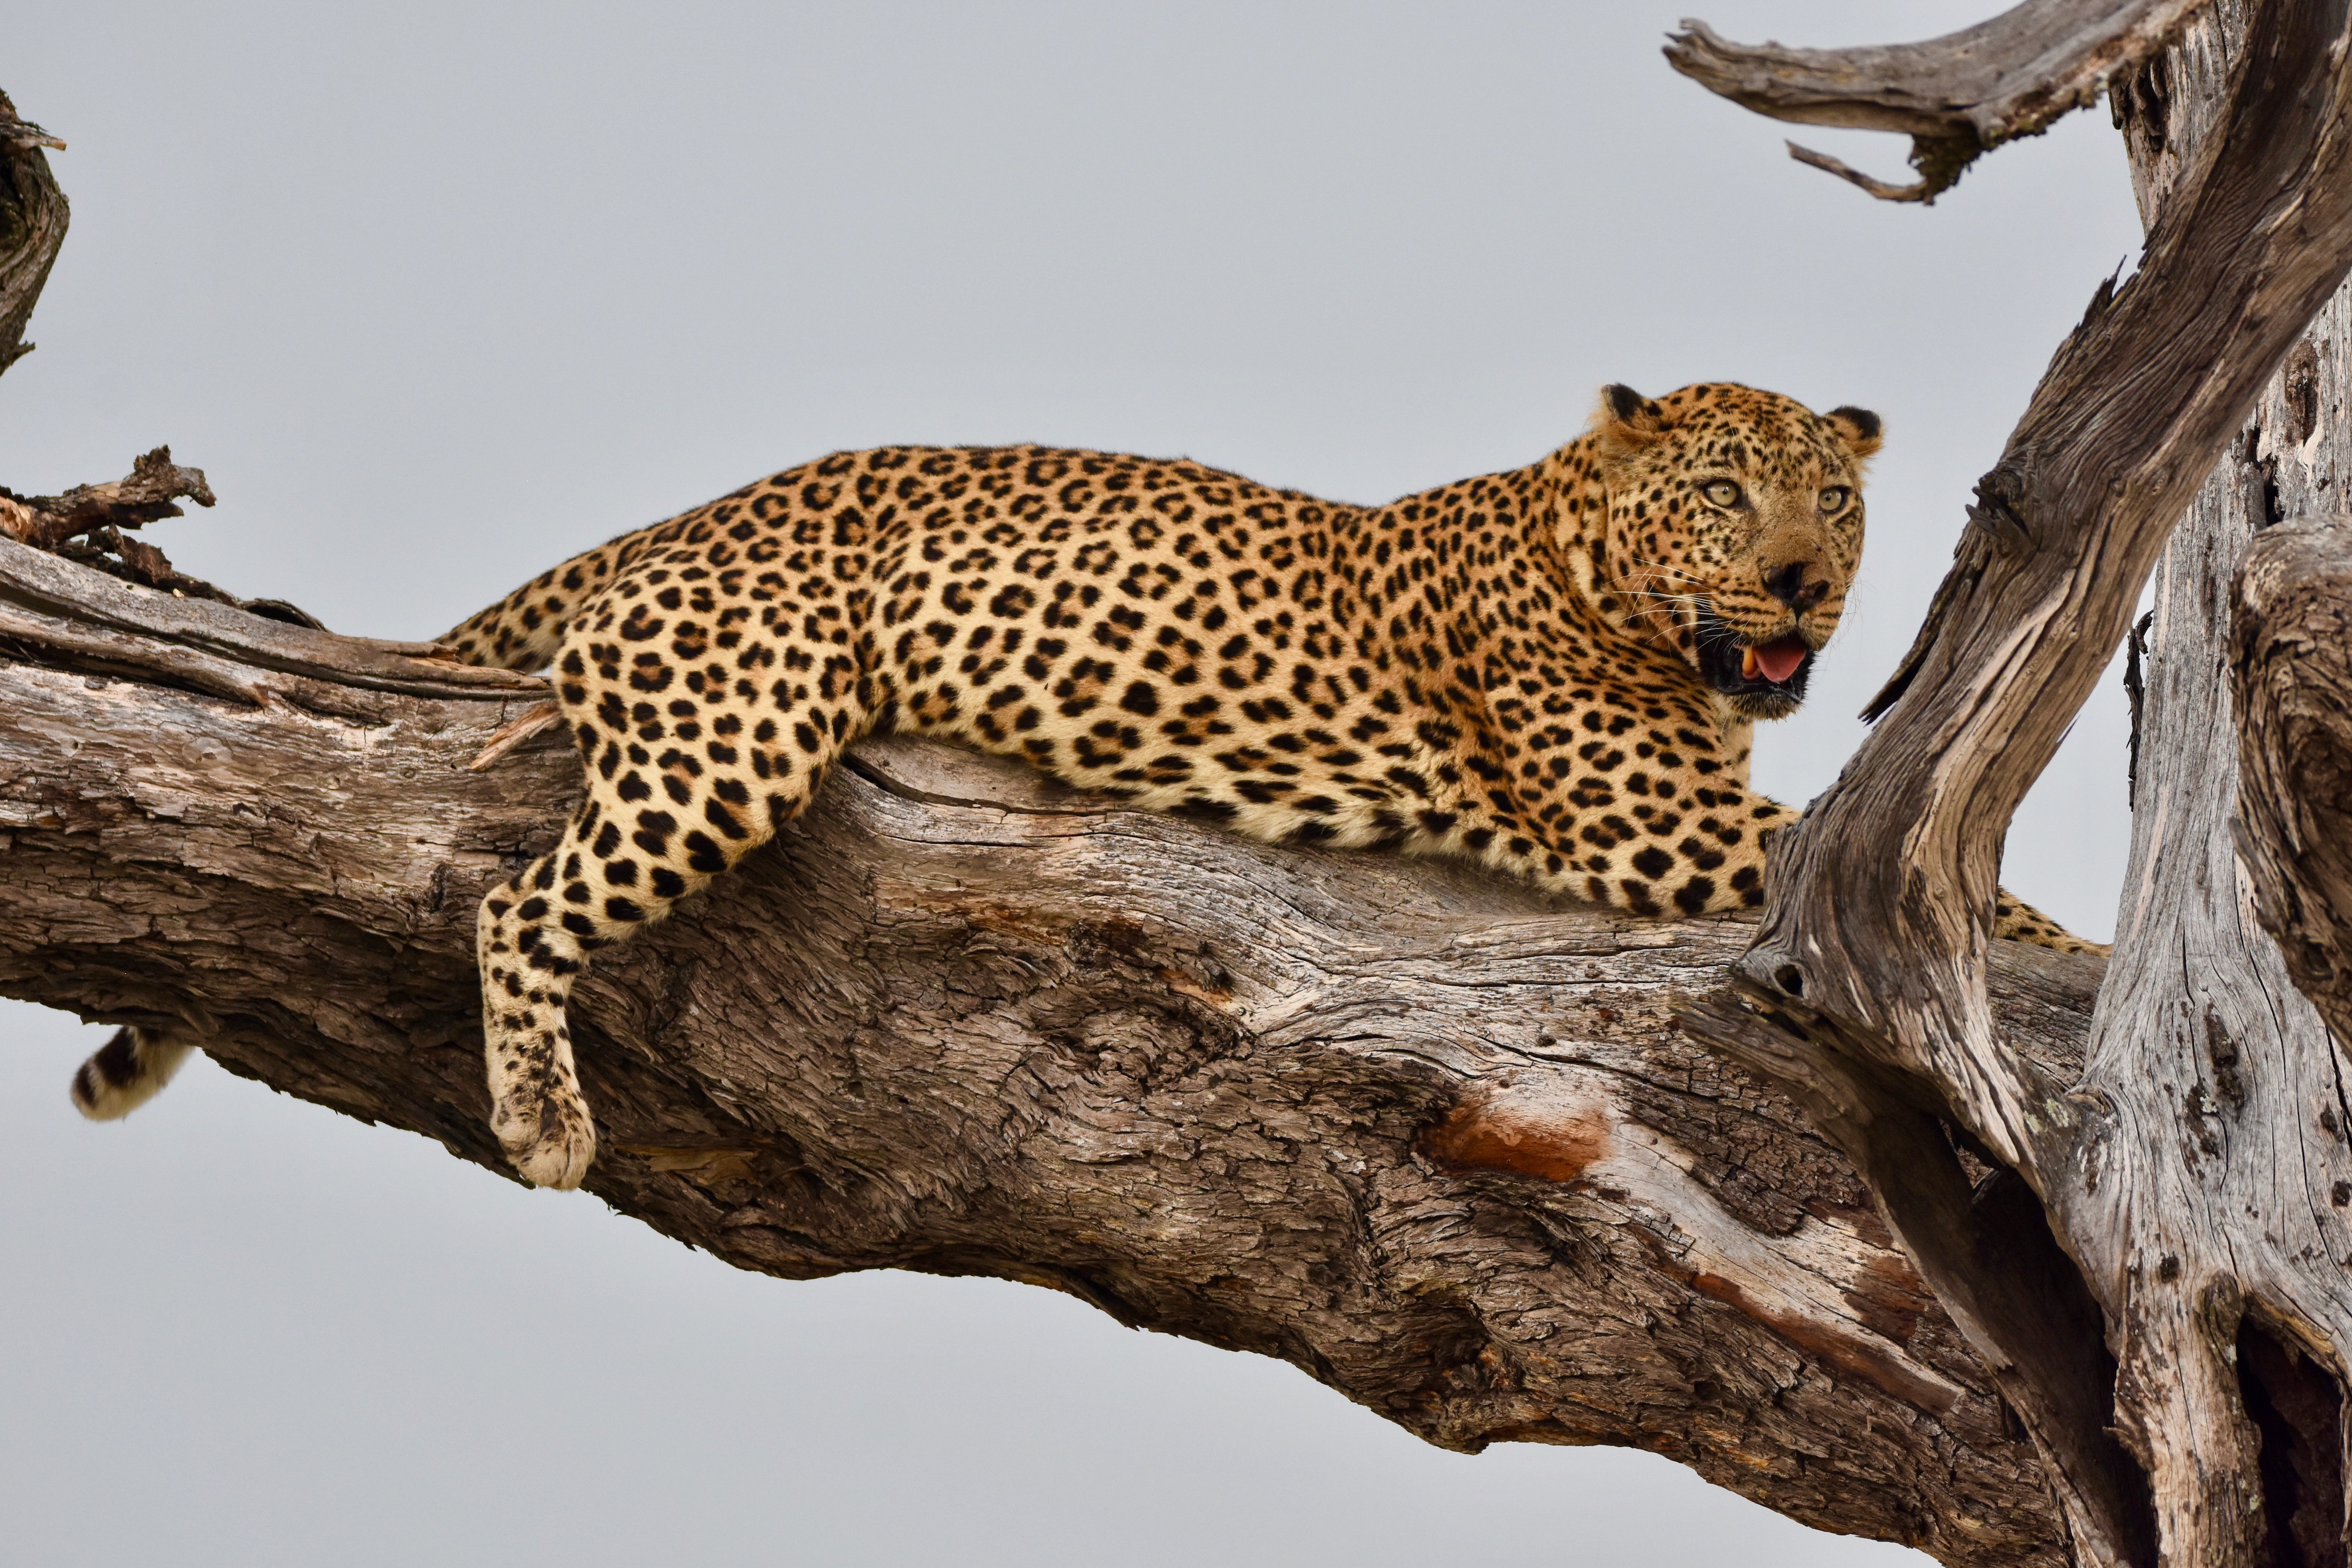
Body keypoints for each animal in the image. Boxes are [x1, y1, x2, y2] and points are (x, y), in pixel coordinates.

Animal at [74, 385, 2098, 1185]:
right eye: (1721, 495)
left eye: (1831, 498)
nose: (1804, 586)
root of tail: (685, 518)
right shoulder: (1649, 825)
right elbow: (1971, 894)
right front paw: (2069, 949)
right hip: (738, 736)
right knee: (516, 899)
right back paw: (548, 1122)